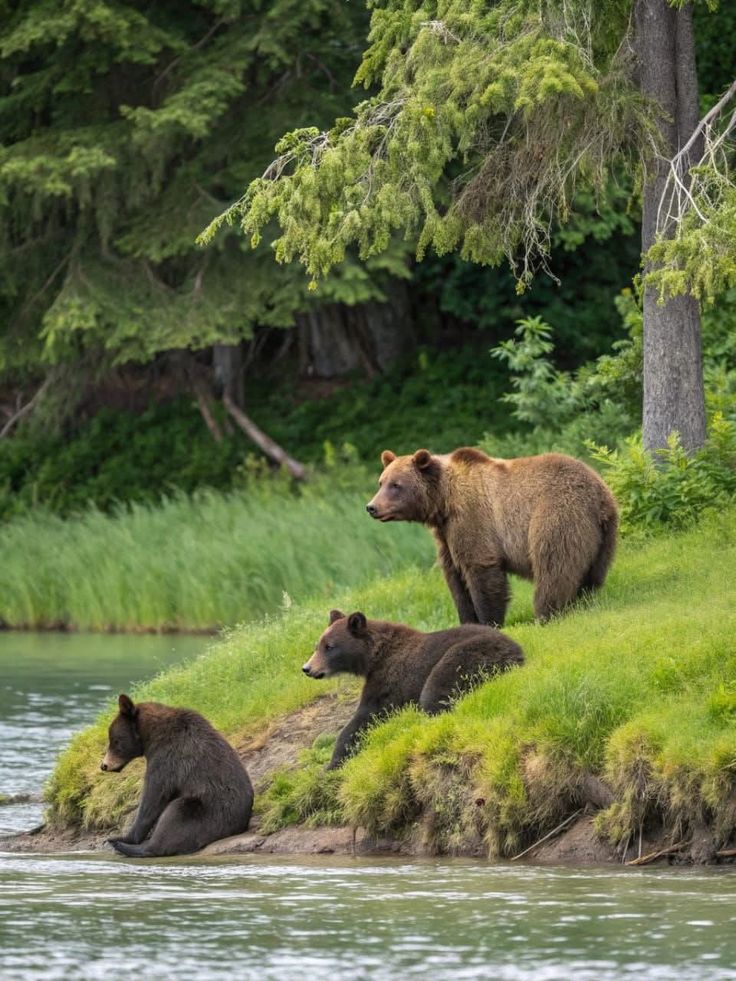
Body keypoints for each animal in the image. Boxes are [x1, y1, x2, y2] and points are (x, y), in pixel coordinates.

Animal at [101, 694, 253, 858]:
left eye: (115, 740)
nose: (104, 765)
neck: (151, 737)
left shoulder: (167, 759)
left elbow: (153, 797)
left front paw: (121, 836)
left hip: (208, 812)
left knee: (177, 812)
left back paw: (124, 846)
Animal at [302, 610, 524, 769]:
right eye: (317, 645)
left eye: (329, 646)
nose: (307, 668)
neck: (373, 658)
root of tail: (516, 652)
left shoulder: (389, 681)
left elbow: (365, 715)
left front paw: (332, 763)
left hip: (465, 655)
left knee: (433, 692)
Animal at [366, 446, 618, 625]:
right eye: (381, 482)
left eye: (396, 485)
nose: (371, 507)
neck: (443, 503)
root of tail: (600, 497)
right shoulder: (446, 536)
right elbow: (455, 579)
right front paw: (467, 621)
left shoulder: (473, 519)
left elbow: (481, 571)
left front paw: (490, 621)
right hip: (604, 536)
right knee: (593, 574)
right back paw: (583, 602)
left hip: (557, 515)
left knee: (554, 566)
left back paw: (546, 614)